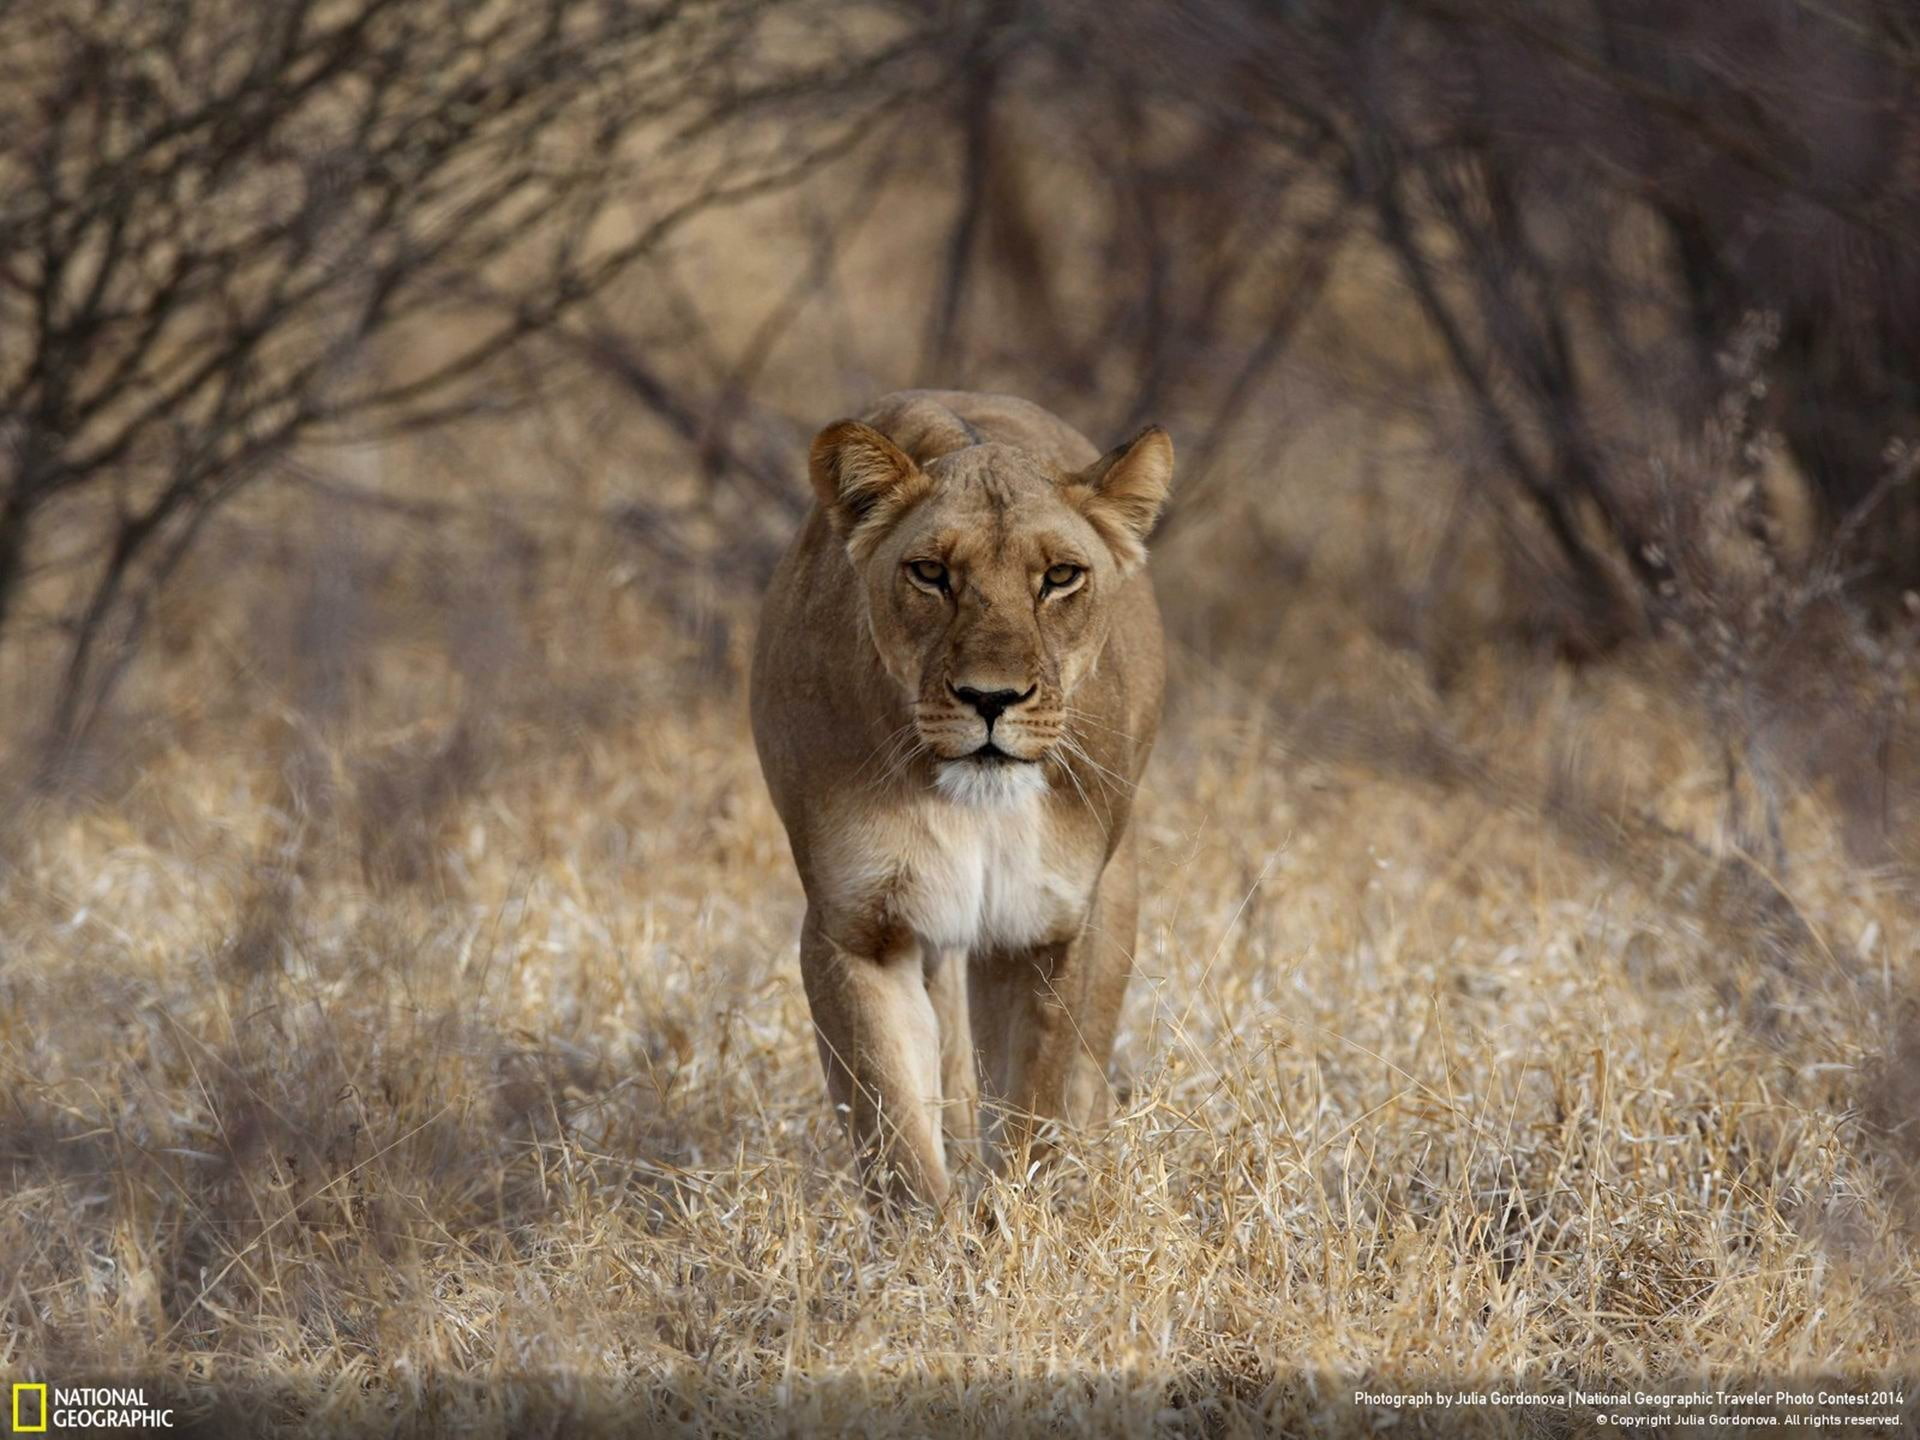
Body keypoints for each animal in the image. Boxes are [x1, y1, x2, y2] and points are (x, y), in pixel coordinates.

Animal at [749, 389, 1170, 1208]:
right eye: (930, 572)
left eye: (1060, 576)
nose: (990, 699)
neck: (975, 807)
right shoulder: (858, 928)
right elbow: (896, 1132)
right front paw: (932, 1238)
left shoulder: (1044, 928)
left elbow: (1034, 1108)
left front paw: (1020, 1221)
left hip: (1116, 892)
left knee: (1085, 1070)